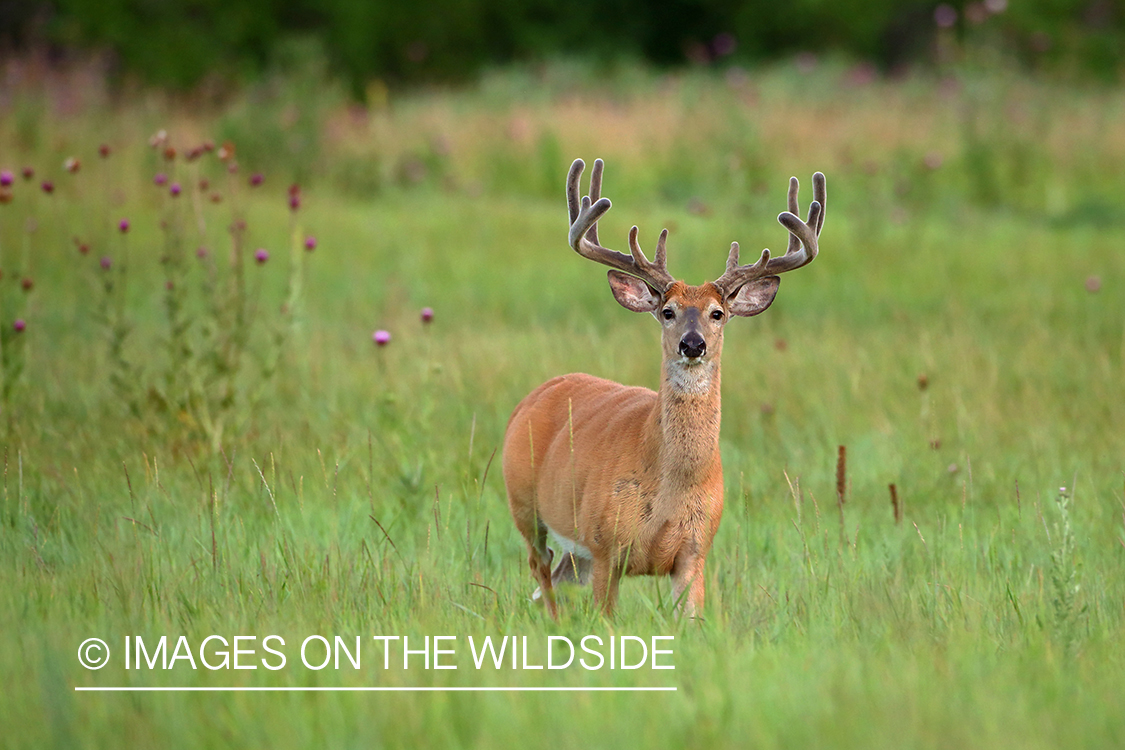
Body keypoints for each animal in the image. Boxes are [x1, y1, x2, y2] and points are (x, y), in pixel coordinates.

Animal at [501, 158, 828, 620]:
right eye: (667, 311)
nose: (693, 344)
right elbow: (607, 620)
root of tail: (532, 396)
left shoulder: (695, 551)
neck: (670, 486)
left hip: (576, 550)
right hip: (525, 505)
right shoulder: (605, 545)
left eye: (718, 312)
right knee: (540, 568)